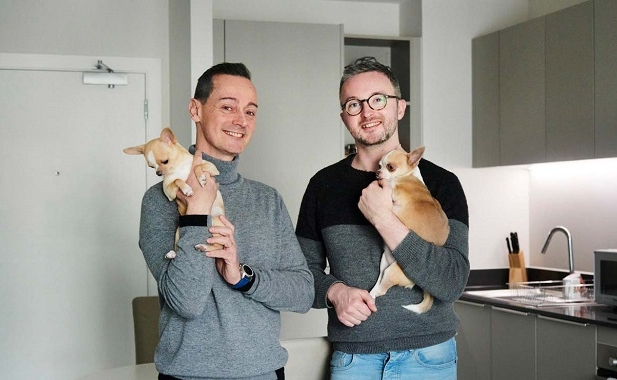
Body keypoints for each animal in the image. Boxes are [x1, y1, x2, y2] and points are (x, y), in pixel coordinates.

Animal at [122, 127, 224, 255]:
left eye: (165, 161)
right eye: (151, 167)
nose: (158, 173)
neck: (178, 167)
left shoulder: (212, 168)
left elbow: (197, 167)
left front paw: (201, 178)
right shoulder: (168, 190)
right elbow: (177, 180)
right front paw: (187, 189)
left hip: (214, 223)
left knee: (219, 246)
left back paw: (204, 247)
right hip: (179, 231)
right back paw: (174, 253)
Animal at [368, 147, 450, 314]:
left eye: (390, 167)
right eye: (379, 165)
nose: (377, 172)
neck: (409, 176)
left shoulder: (394, 191)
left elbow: (390, 184)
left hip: (392, 272)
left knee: (382, 290)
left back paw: (375, 293)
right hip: (384, 263)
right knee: (379, 280)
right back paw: (372, 292)